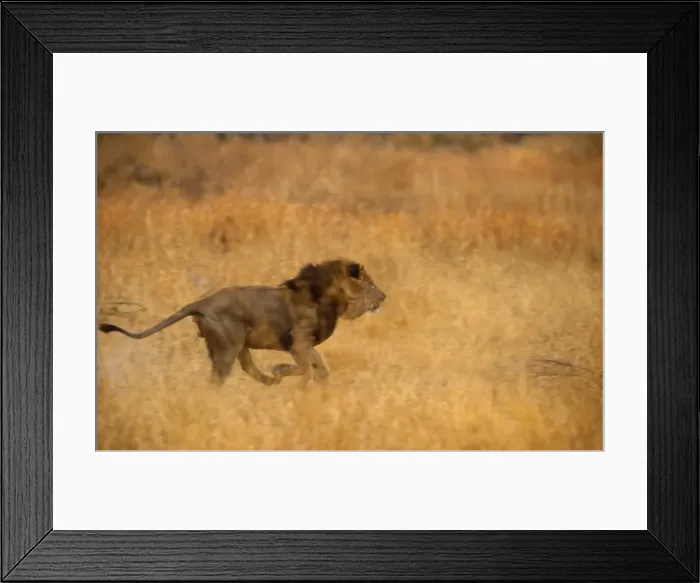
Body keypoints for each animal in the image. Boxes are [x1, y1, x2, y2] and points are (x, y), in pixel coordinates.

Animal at [98, 258, 386, 388]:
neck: (332, 300)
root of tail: (200, 303)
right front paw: (282, 369)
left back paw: (269, 381)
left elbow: (319, 364)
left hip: (238, 343)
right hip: (228, 346)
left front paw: (320, 383)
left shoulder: (306, 343)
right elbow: (305, 366)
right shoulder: (299, 340)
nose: (384, 296)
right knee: (218, 378)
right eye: (371, 284)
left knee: (246, 366)